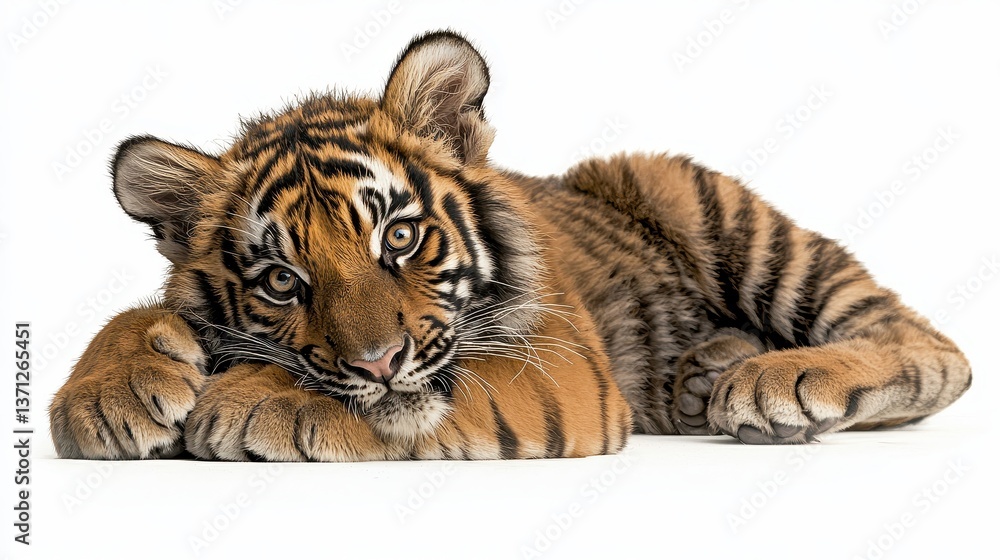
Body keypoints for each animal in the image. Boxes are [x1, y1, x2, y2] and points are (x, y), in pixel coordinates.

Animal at [49, 31, 972, 461]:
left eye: (401, 236)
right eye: (282, 280)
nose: (378, 362)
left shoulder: (560, 362)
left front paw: (255, 399)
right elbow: (131, 317)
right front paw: (101, 399)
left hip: (721, 216)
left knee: (929, 346)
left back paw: (773, 381)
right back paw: (707, 374)